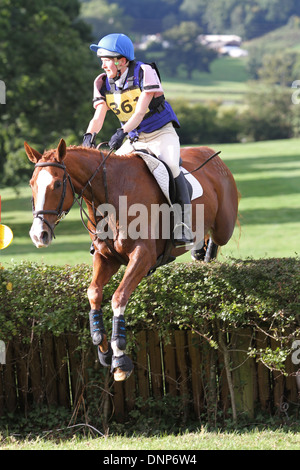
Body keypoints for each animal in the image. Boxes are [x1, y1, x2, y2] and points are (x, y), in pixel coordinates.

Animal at [24, 139, 239, 382]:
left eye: (58, 184)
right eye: (32, 184)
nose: (38, 235)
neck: (109, 195)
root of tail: (211, 153)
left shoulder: (143, 256)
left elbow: (119, 297)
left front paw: (119, 359)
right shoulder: (107, 257)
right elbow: (94, 293)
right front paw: (102, 347)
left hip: (224, 225)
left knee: (218, 237)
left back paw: (207, 253)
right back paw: (199, 252)